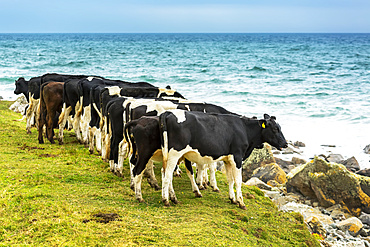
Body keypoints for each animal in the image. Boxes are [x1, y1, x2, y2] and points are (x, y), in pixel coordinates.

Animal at [158, 111, 286, 209]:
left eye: (280, 128)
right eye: (275, 129)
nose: (285, 144)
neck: (245, 129)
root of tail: (169, 113)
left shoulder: (227, 159)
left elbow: (230, 179)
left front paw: (232, 199)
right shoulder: (237, 157)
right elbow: (238, 181)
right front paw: (241, 202)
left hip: (170, 155)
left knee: (165, 173)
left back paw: (173, 198)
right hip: (175, 153)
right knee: (168, 175)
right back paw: (166, 200)